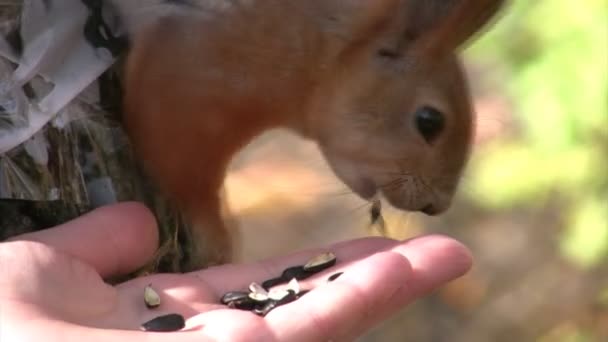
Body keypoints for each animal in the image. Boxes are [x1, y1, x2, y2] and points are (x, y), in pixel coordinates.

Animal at [116, 0, 506, 272]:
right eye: (429, 121)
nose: (437, 205)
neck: (318, 55)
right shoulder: (192, 75)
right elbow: (184, 173)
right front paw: (217, 241)